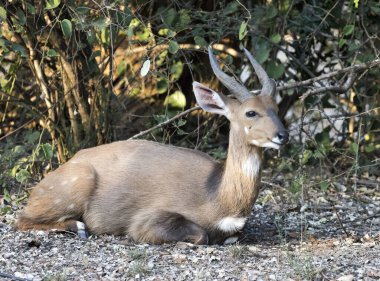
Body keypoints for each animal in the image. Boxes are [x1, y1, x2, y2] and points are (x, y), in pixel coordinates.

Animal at [15, 46, 288, 243]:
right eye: (251, 113)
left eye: (276, 108)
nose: (282, 135)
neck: (218, 199)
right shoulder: (146, 220)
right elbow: (200, 235)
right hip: (76, 184)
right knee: (21, 219)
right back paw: (77, 226)